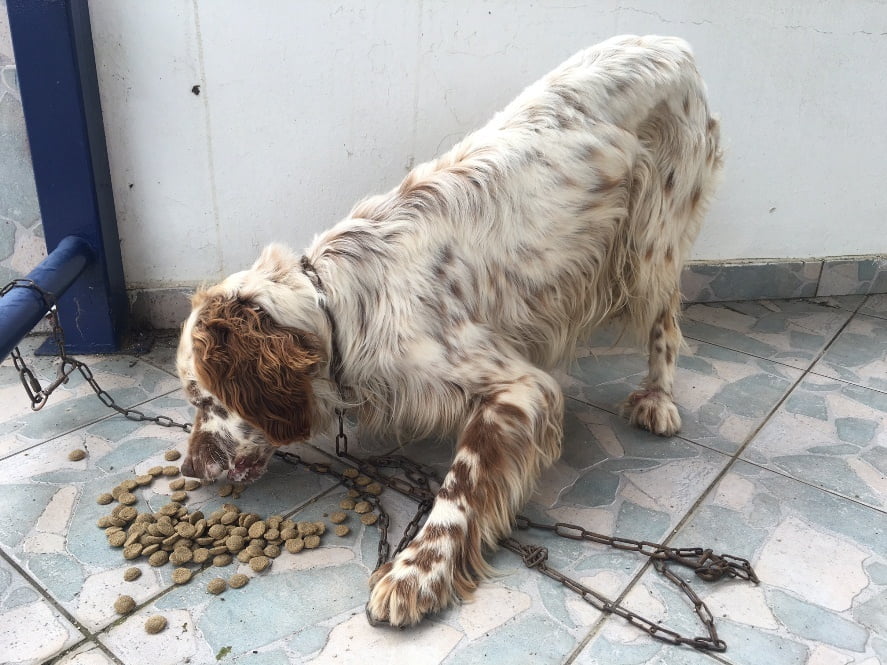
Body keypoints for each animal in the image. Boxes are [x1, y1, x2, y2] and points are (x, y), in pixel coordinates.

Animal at [176, 34, 722, 627]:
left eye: (203, 399)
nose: (190, 469)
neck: (341, 305)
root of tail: (674, 44)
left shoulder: (518, 388)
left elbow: (461, 484)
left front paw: (417, 572)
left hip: (653, 237)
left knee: (665, 317)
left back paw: (657, 399)